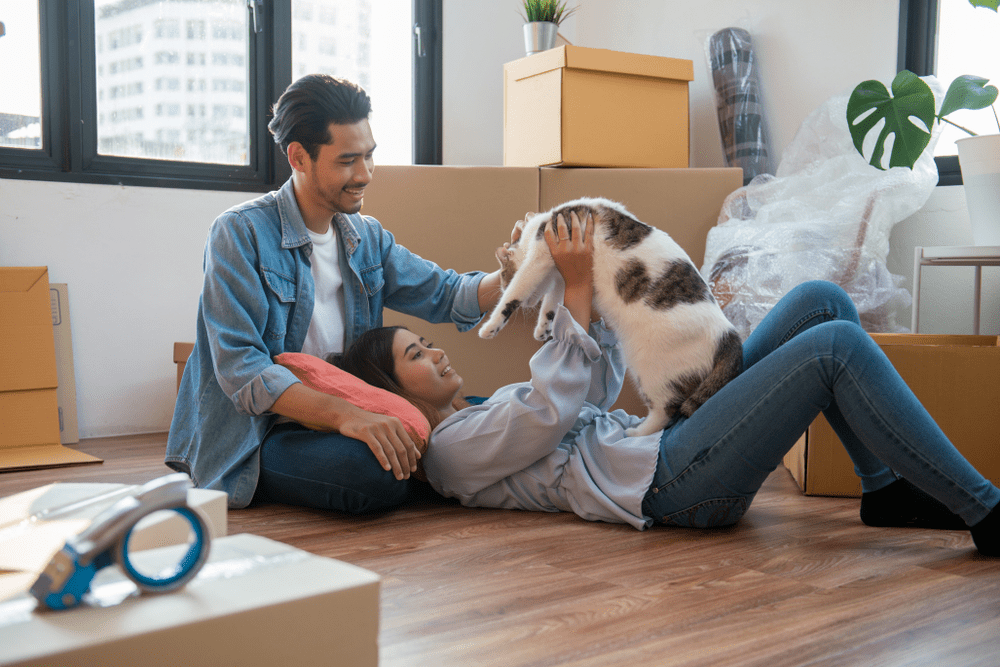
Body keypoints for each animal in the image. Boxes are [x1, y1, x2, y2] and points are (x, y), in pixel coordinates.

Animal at [476, 198, 744, 438]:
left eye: (504, 279)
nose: (529, 305)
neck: (542, 225)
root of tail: (729, 335)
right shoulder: (560, 275)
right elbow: (552, 302)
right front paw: (544, 327)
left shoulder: (540, 259)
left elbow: (513, 295)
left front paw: (491, 327)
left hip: (650, 370)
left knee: (666, 410)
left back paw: (636, 433)